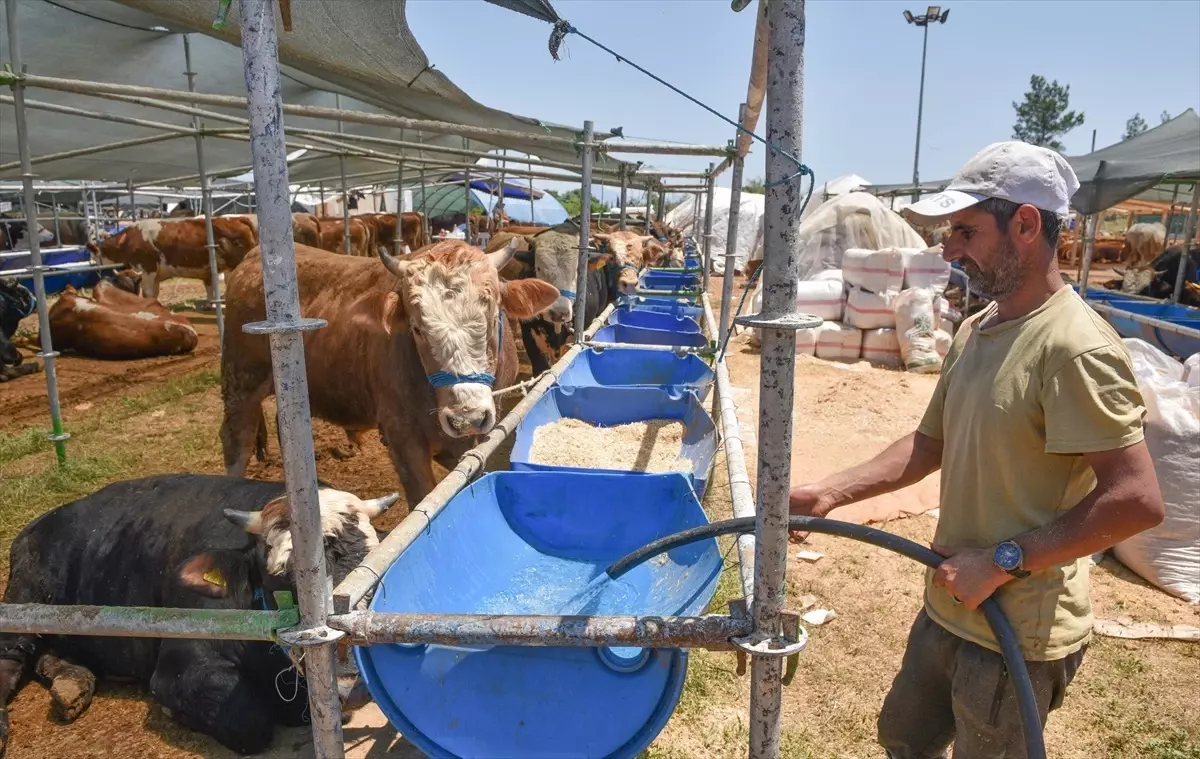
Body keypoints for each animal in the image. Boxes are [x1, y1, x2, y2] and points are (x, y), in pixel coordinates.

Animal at [0, 475, 398, 754]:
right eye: (280, 582)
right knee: (11, 658)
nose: (350, 685)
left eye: (373, 574)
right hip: (25, 594)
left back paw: (71, 682)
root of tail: (41, 521)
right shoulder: (179, 667)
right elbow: (248, 722)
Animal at [87, 216, 260, 299]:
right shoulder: (155, 274)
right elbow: (154, 293)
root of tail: (236, 218)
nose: (94, 271)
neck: (128, 240)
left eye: (93, 255)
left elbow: (147, 293)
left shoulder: (147, 268)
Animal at [220, 241, 556, 504]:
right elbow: (424, 494)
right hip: (240, 380)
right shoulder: (401, 435)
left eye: (493, 316)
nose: (466, 417)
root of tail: (252, 258)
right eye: (417, 328)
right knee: (238, 440)